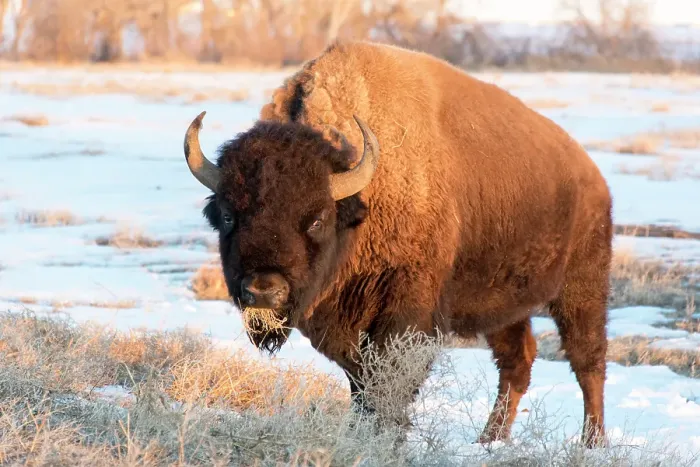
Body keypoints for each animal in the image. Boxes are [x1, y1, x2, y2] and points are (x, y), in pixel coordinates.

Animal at [182, 40, 613, 448]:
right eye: (227, 216)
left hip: (581, 288)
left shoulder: (405, 314)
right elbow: (361, 387)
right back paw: (489, 440)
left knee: (587, 361)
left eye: (317, 219)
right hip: (504, 306)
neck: (360, 203)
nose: (263, 289)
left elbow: (388, 385)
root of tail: (591, 174)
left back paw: (592, 442)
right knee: (516, 362)